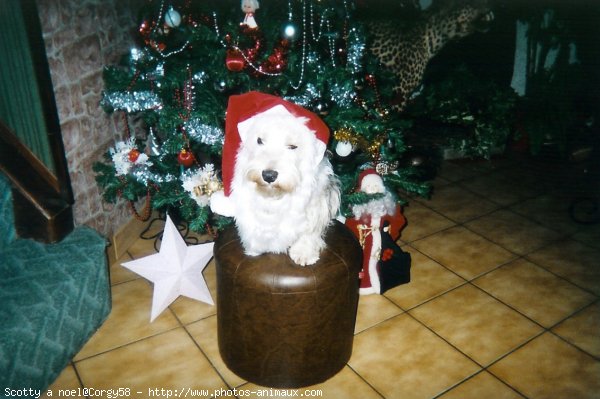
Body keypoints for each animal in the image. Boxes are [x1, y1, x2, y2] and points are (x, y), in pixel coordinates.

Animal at [211, 92, 340, 268]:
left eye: (292, 146)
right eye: (259, 140)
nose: (269, 175)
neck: (274, 196)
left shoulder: (316, 202)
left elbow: (309, 230)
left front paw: (304, 251)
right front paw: (255, 247)